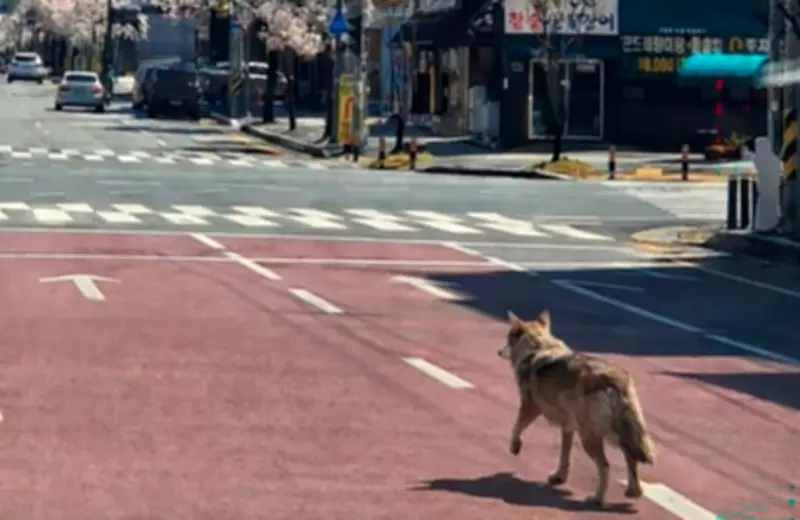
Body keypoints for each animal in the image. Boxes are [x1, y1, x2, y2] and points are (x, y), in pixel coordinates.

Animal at [497, 309, 656, 506]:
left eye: (508, 339)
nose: (498, 351)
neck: (538, 347)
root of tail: (614, 379)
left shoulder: (530, 407)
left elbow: (516, 427)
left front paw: (515, 447)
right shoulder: (568, 427)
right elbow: (564, 456)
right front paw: (559, 477)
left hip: (590, 437)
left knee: (606, 466)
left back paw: (597, 499)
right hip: (615, 433)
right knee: (631, 457)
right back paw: (634, 492)